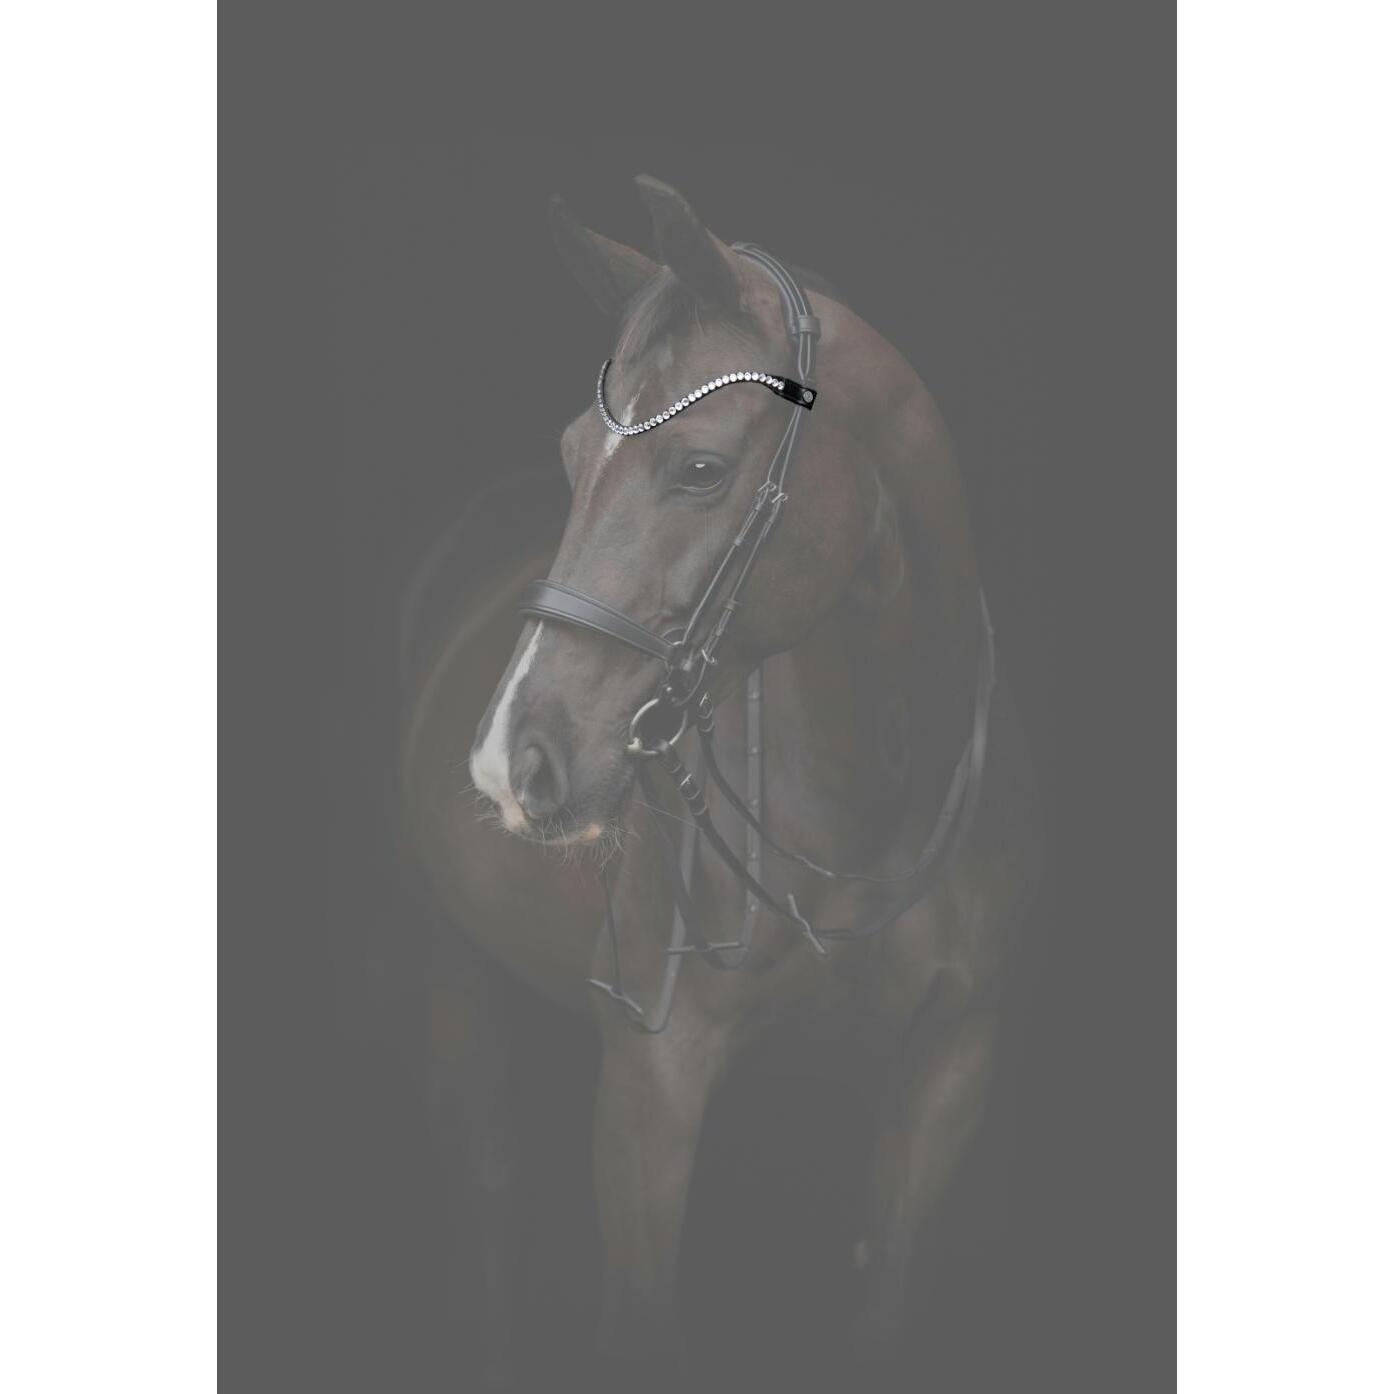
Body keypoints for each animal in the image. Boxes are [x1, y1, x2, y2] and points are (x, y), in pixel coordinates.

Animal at [399, 174, 1041, 1388]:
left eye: (698, 467)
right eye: (572, 456)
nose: (512, 759)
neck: (863, 795)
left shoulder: (948, 1068)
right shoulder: (652, 1092)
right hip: (451, 978)